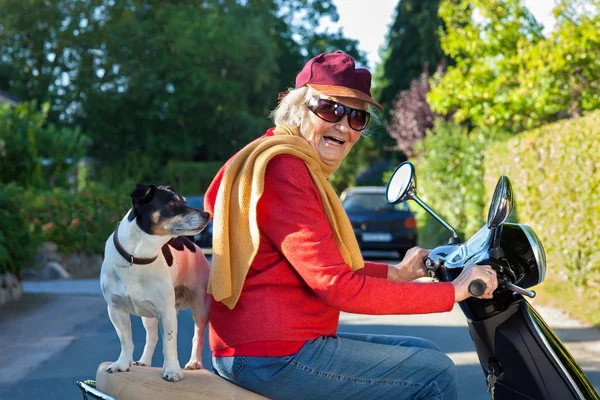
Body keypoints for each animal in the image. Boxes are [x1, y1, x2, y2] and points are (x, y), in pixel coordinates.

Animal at [99, 184, 211, 382]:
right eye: (172, 202)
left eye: (184, 201)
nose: (207, 215)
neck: (137, 258)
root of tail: (189, 242)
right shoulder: (115, 309)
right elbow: (126, 340)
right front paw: (122, 364)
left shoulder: (167, 313)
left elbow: (169, 344)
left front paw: (172, 370)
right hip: (148, 315)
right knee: (151, 337)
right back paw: (144, 361)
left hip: (200, 307)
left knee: (198, 336)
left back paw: (194, 362)